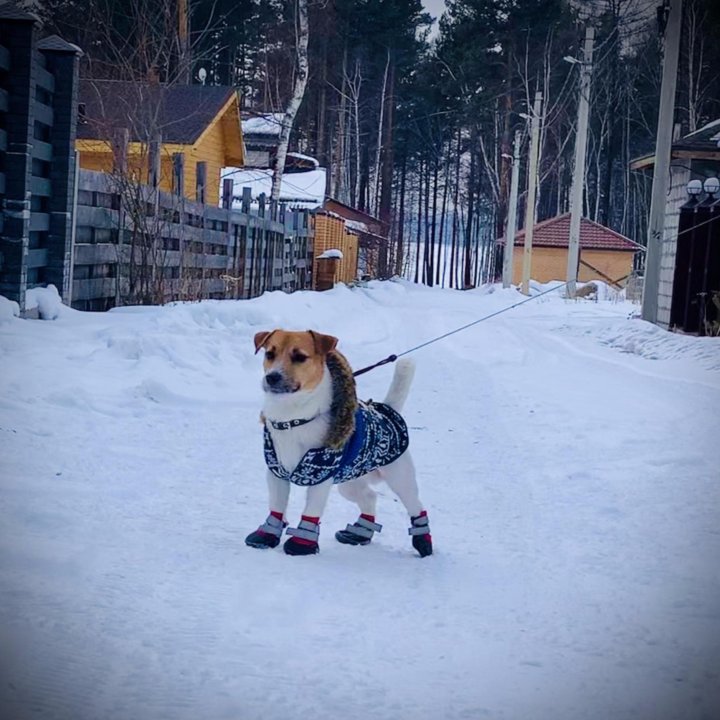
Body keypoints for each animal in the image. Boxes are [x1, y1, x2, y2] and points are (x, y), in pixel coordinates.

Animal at [245, 330, 434, 560]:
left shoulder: (321, 476)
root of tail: (389, 410)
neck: (293, 418)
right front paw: (266, 536)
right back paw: (359, 533)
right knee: (370, 497)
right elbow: (276, 507)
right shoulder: (276, 474)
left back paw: (423, 541)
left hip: (400, 477)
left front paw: (301, 545)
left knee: (416, 506)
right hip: (349, 483)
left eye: (299, 356)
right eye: (269, 354)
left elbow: (311, 512)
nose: (272, 377)